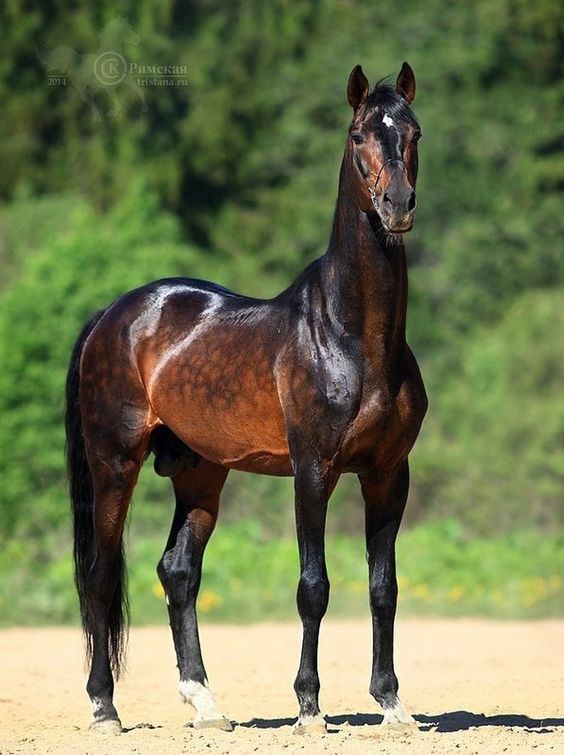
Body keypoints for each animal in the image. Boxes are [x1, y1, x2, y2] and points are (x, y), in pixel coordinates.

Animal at [65, 62, 428, 736]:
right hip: (114, 462)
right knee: (100, 575)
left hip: (201, 472)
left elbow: (383, 587)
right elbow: (314, 586)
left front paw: (392, 704)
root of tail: (113, 314)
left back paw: (207, 705)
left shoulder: (389, 474)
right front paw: (309, 707)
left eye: (413, 131)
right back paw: (105, 708)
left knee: (177, 572)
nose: (397, 206)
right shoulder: (313, 471)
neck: (354, 338)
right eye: (361, 134)